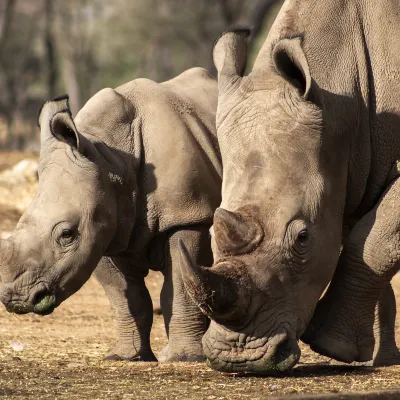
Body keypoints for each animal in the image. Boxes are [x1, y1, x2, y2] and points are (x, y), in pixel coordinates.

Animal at [0, 68, 222, 362]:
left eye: (66, 235)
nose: (16, 300)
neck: (112, 161)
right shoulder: (103, 230)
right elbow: (125, 297)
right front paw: (125, 357)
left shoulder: (188, 214)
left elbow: (180, 288)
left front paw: (182, 358)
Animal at [180, 0, 400, 376]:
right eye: (210, 233)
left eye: (302, 238)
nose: (239, 358)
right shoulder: (347, 172)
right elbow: (366, 242)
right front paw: (377, 357)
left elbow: (374, 242)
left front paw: (332, 346)